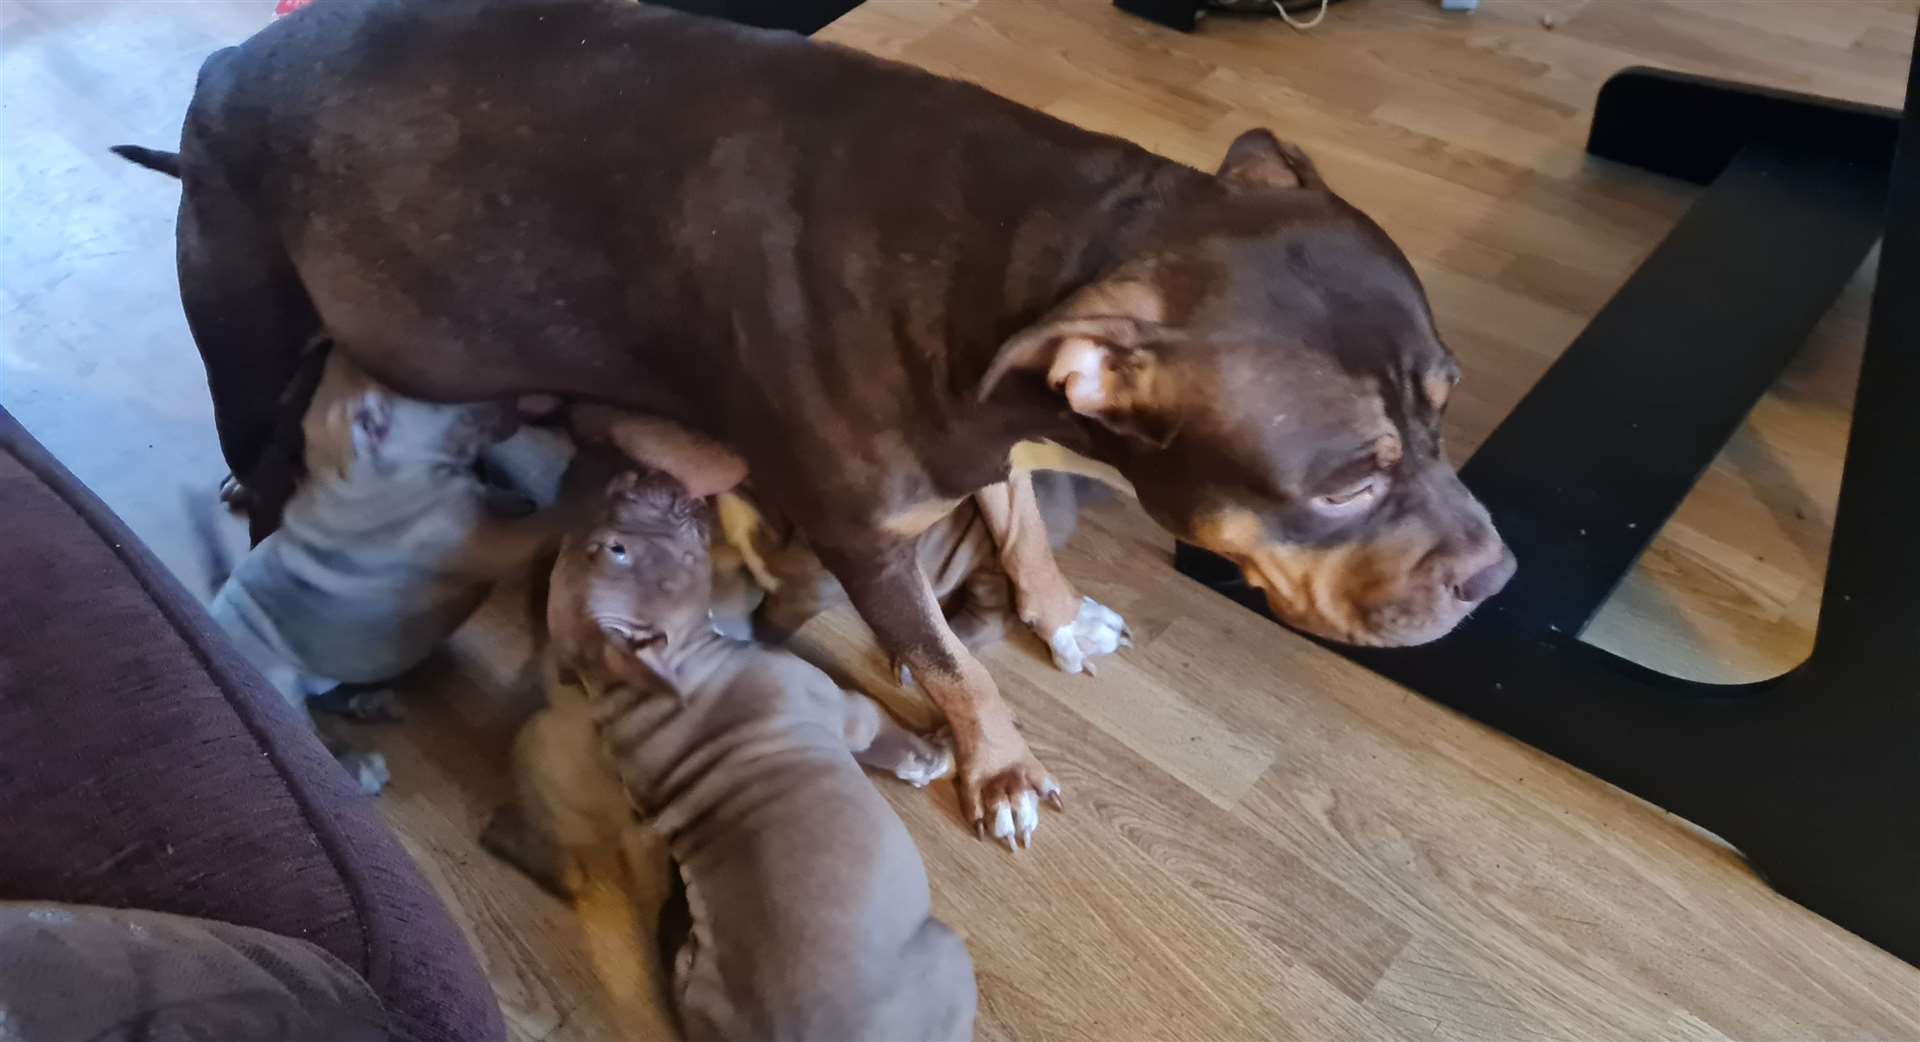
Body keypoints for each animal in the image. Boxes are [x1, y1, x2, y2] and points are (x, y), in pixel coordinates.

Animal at [205, 351, 576, 790]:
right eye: (453, 401)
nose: (524, 397)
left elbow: (494, 498)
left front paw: (513, 498)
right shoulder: (483, 543)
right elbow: (543, 526)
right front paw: (593, 497)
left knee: (329, 695)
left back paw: (370, 702)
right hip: (277, 684)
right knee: (310, 736)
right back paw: (361, 767)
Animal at [487, 472, 983, 1042]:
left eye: (604, 537)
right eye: (616, 550)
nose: (628, 477)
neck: (634, 686)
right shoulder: (843, 708)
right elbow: (882, 730)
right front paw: (929, 753)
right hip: (949, 953)